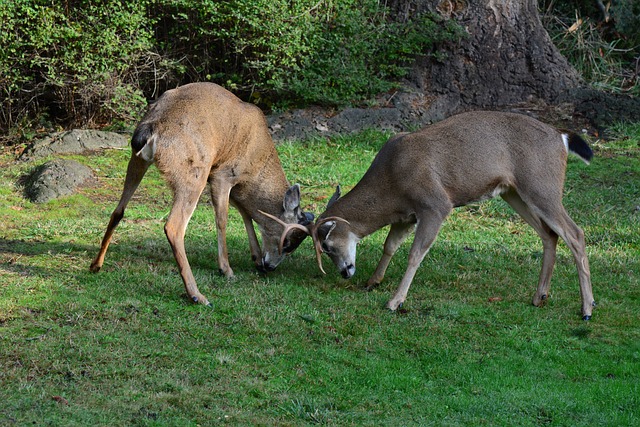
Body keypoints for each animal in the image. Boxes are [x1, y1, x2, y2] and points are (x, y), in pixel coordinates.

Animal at [89, 81, 314, 308]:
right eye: (288, 243)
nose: (270, 267)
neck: (256, 164)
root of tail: (150, 130)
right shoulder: (223, 174)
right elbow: (223, 219)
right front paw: (227, 269)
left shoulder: (227, 182)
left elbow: (245, 213)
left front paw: (256, 257)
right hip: (193, 172)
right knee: (174, 226)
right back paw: (197, 295)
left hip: (138, 160)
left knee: (118, 211)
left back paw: (96, 265)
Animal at [266, 111, 596, 320]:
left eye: (328, 245)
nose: (345, 272)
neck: (392, 182)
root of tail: (561, 138)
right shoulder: (406, 215)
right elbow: (390, 245)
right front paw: (373, 281)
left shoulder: (435, 205)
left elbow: (415, 253)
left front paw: (394, 301)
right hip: (514, 192)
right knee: (549, 234)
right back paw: (540, 297)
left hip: (541, 185)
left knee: (576, 233)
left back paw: (587, 309)